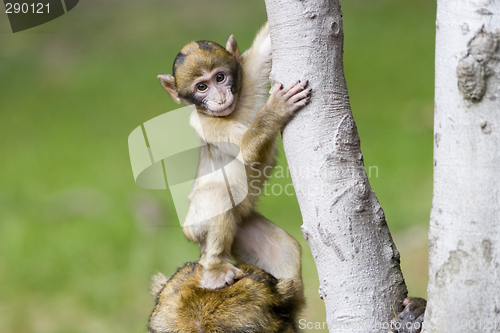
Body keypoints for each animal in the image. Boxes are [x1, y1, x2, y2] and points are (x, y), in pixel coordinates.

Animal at [158, 23, 310, 290]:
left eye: (220, 77)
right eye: (202, 87)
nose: (220, 98)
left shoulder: (248, 73)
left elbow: (266, 44)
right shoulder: (204, 123)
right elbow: (246, 150)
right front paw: (276, 110)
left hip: (243, 228)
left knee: (285, 252)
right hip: (195, 225)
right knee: (216, 194)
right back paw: (214, 268)